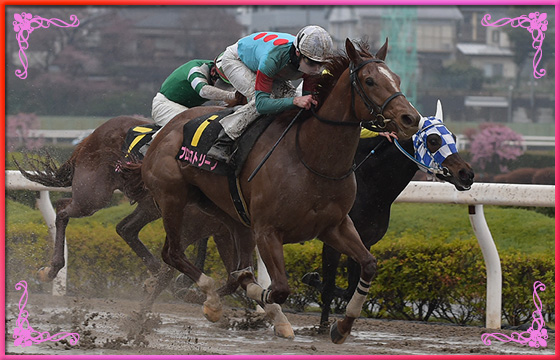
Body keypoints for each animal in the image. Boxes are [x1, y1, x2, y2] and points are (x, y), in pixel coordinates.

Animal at [132, 38, 420, 344]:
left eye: (397, 78)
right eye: (369, 81)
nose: (410, 118)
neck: (312, 157)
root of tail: (164, 130)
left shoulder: (336, 226)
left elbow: (368, 264)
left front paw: (341, 327)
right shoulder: (267, 231)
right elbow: (278, 288)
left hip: (227, 213)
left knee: (223, 263)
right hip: (173, 198)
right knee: (172, 253)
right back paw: (208, 300)